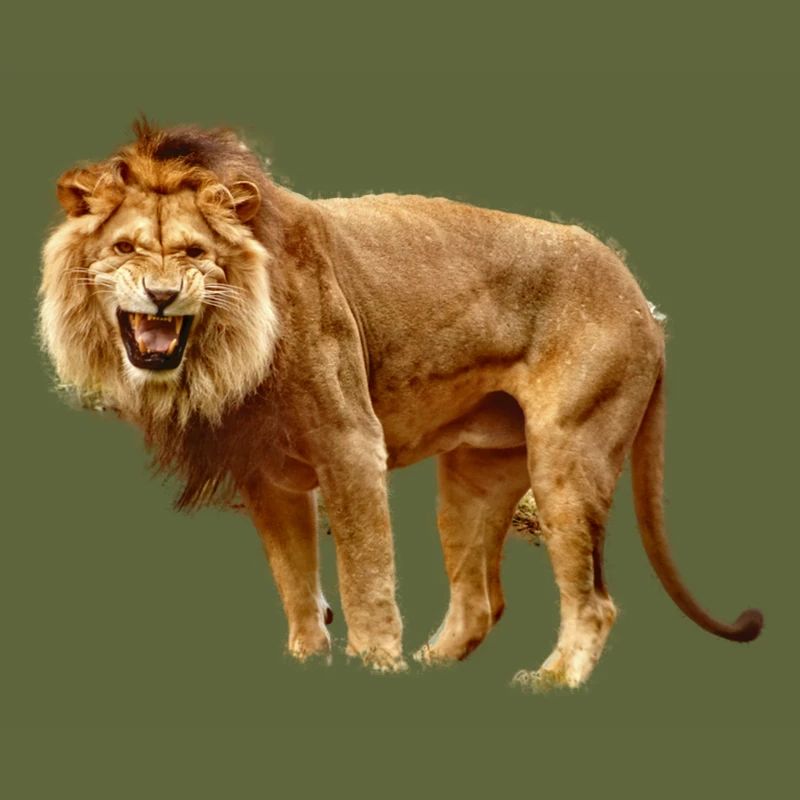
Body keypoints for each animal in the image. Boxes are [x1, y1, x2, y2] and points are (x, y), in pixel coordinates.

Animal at [39, 121, 762, 688]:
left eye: (195, 253)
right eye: (124, 248)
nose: (162, 295)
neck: (224, 351)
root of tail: (644, 304)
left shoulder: (351, 443)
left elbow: (365, 576)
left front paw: (375, 666)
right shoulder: (266, 474)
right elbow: (294, 579)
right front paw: (309, 662)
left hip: (568, 454)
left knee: (592, 602)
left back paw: (550, 680)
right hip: (474, 478)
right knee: (480, 602)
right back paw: (433, 670)